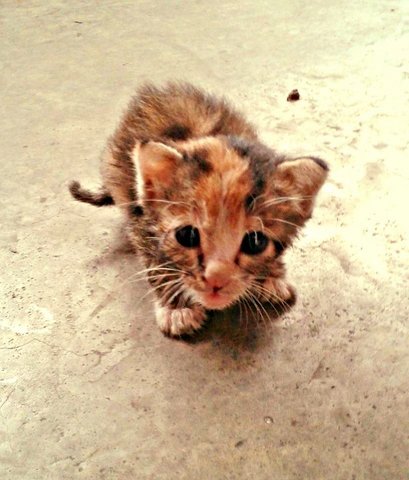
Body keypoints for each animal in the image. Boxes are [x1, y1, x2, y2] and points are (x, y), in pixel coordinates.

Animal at [68, 81, 326, 338]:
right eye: (187, 236)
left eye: (255, 242)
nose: (216, 279)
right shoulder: (139, 217)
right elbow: (156, 262)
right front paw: (177, 308)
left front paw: (271, 276)